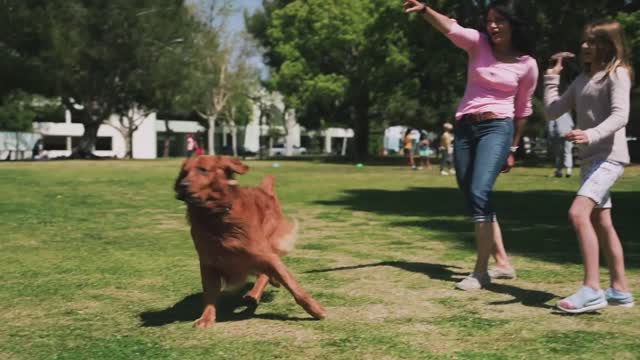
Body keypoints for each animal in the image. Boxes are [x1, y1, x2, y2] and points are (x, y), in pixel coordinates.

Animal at [174, 155, 324, 330]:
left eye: (203, 170)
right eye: (184, 173)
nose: (182, 186)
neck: (215, 216)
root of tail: (264, 190)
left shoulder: (263, 253)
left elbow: (292, 284)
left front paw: (315, 310)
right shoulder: (208, 262)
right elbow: (209, 293)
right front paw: (206, 318)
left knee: (266, 273)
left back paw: (255, 294)